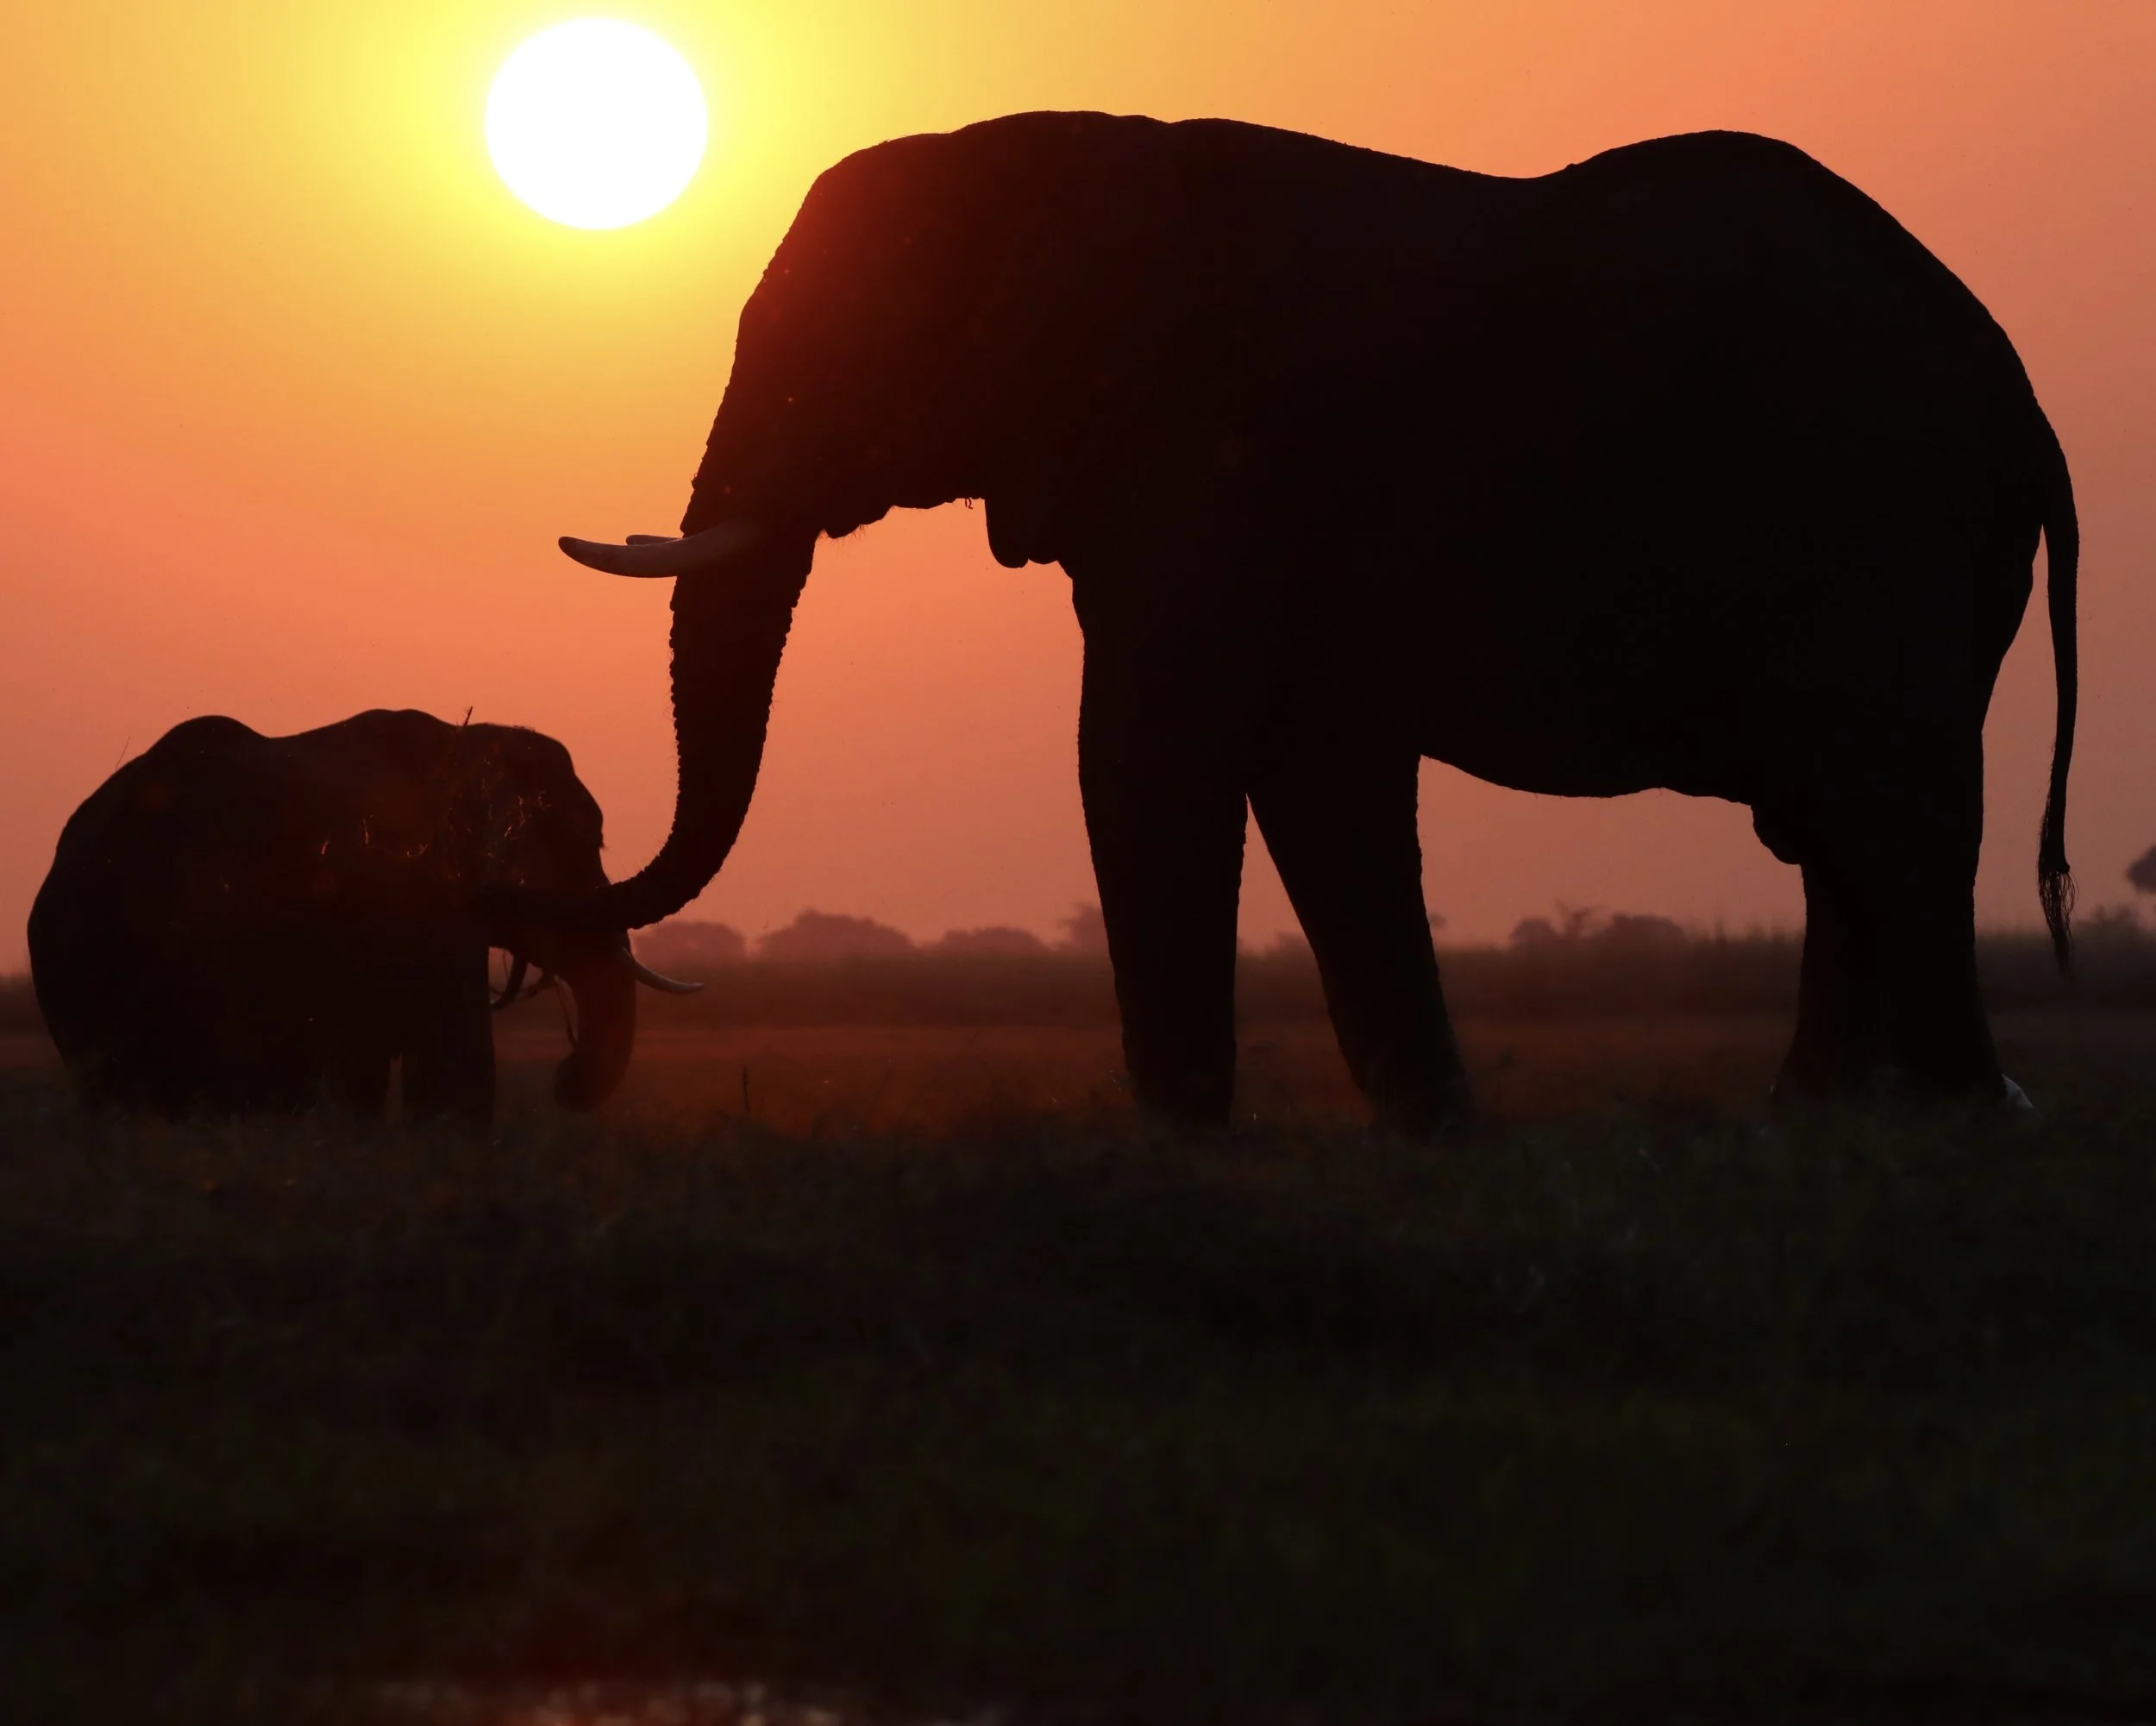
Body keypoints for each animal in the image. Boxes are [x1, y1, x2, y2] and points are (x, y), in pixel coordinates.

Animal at [546, 112, 2077, 1128]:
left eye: (837, 358)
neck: (1069, 154)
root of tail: (2030, 409)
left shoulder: (1224, 455)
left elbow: (1153, 748)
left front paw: (1185, 1146)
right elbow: (1319, 778)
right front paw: (1436, 1137)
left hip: (1894, 537)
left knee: (1895, 812)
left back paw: (1962, 1128)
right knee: (1842, 827)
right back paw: (1821, 1126)